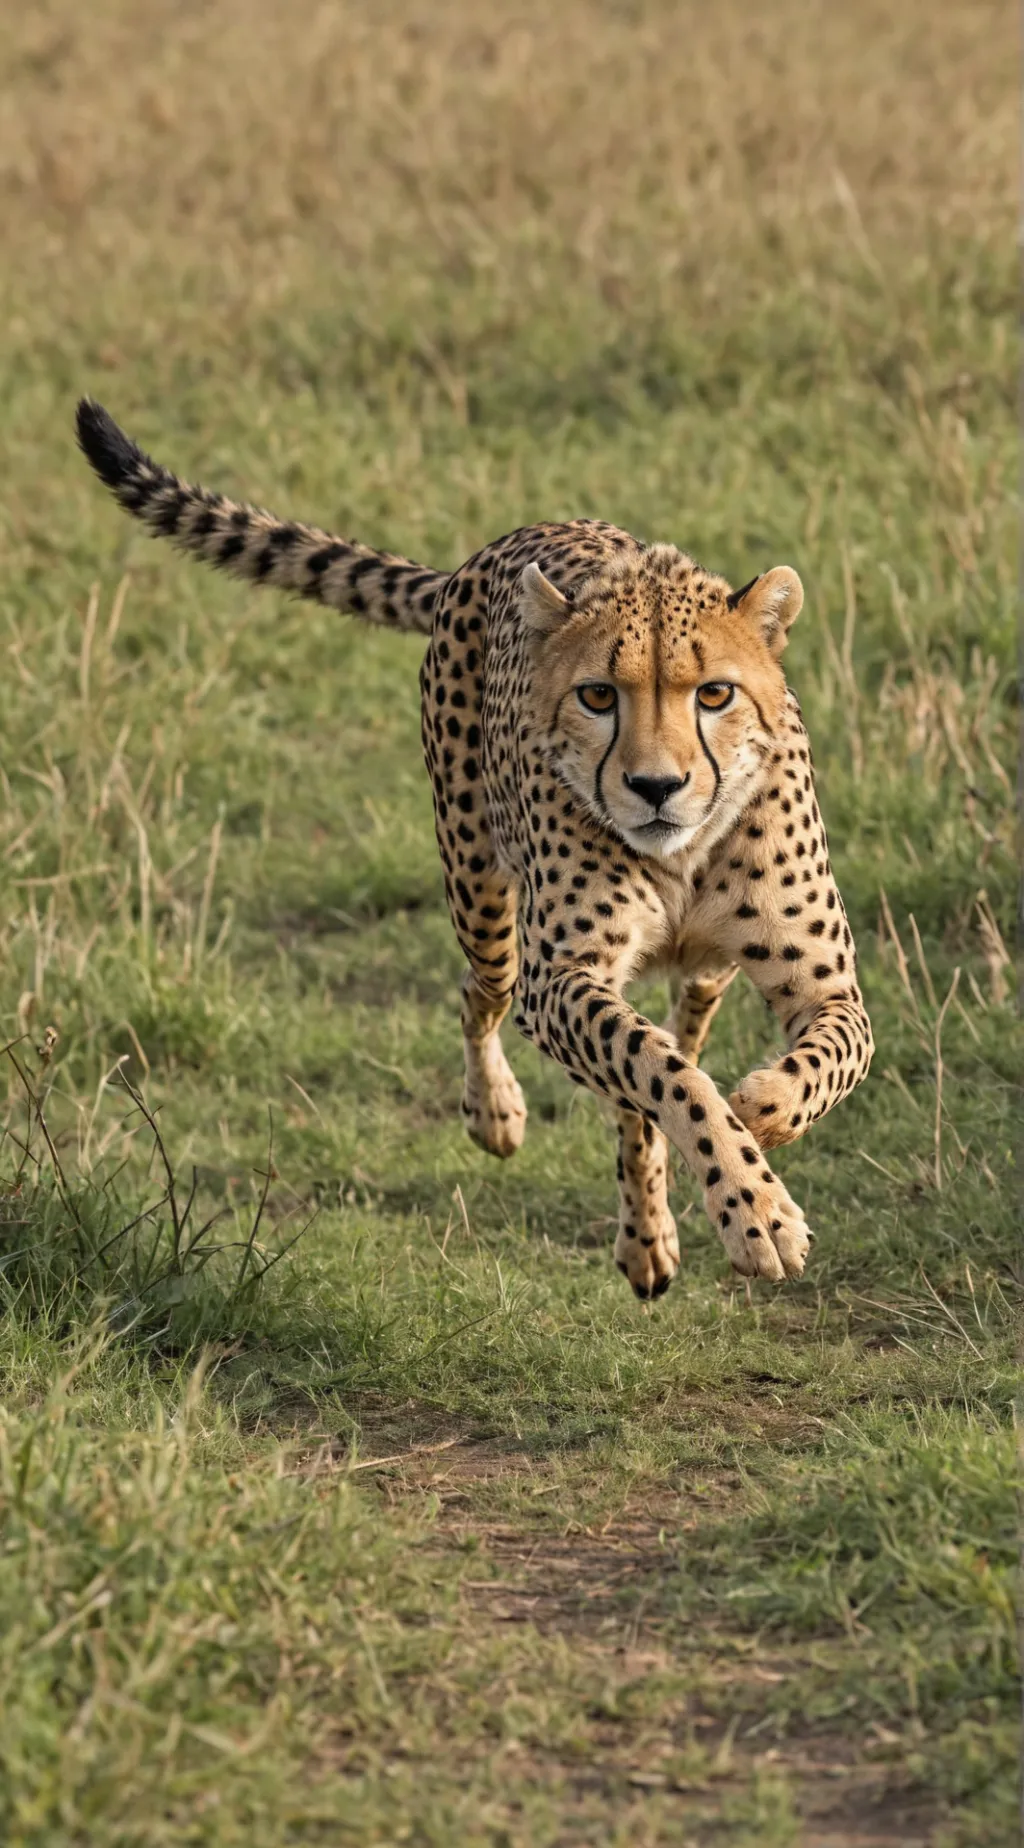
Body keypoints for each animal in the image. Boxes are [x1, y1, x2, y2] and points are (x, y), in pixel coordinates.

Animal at [76, 397, 874, 1299]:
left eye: (714, 694)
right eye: (598, 696)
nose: (656, 786)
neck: (682, 854)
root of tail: (495, 547)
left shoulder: (827, 986)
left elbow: (824, 1058)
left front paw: (766, 1110)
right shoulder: (558, 980)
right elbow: (664, 1074)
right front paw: (756, 1210)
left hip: (701, 973)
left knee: (667, 1056)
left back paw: (647, 1231)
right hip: (483, 900)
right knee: (485, 997)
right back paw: (499, 1117)